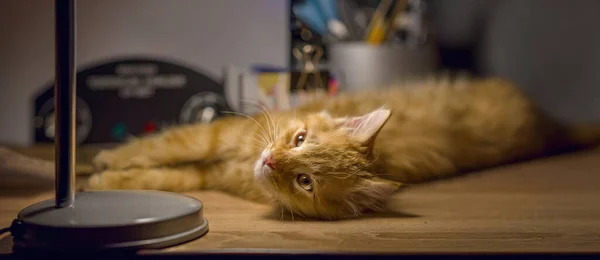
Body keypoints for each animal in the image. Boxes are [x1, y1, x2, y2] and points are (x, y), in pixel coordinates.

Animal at [88, 76, 600, 219]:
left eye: (304, 181)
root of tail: (546, 127)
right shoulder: (211, 138)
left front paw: (103, 177)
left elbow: (164, 173)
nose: (269, 159)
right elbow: (156, 148)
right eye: (298, 139)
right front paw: (102, 162)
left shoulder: (209, 170)